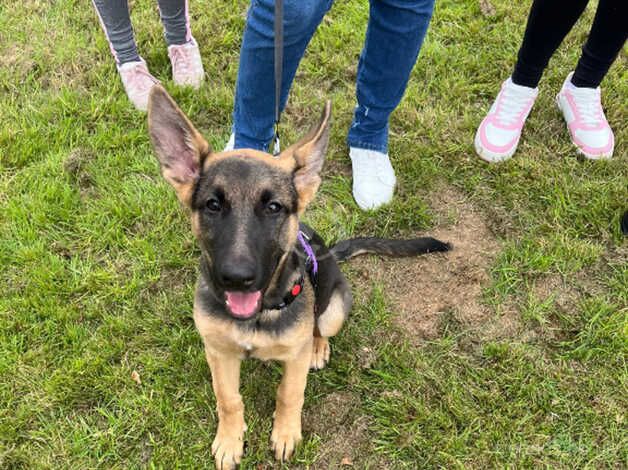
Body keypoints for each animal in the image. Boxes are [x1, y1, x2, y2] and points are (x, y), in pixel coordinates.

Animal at [147, 86, 452, 468]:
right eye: (212, 205)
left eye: (274, 207)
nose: (237, 278)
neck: (259, 316)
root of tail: (330, 252)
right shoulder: (218, 352)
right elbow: (228, 399)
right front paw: (231, 439)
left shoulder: (292, 360)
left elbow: (289, 393)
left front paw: (285, 433)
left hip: (333, 309)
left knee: (319, 328)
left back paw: (318, 347)